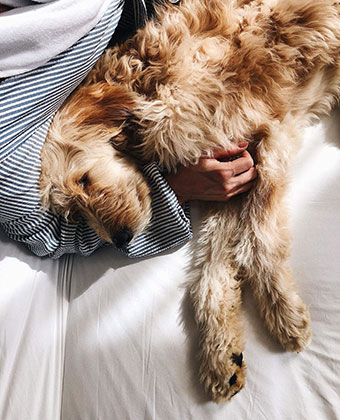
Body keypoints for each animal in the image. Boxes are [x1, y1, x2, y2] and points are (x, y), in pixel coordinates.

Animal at [40, 0, 340, 402]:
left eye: (84, 181)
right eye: (72, 212)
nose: (119, 240)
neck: (148, 88)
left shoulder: (267, 136)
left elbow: (256, 241)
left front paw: (283, 311)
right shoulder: (229, 171)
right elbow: (210, 269)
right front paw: (220, 353)